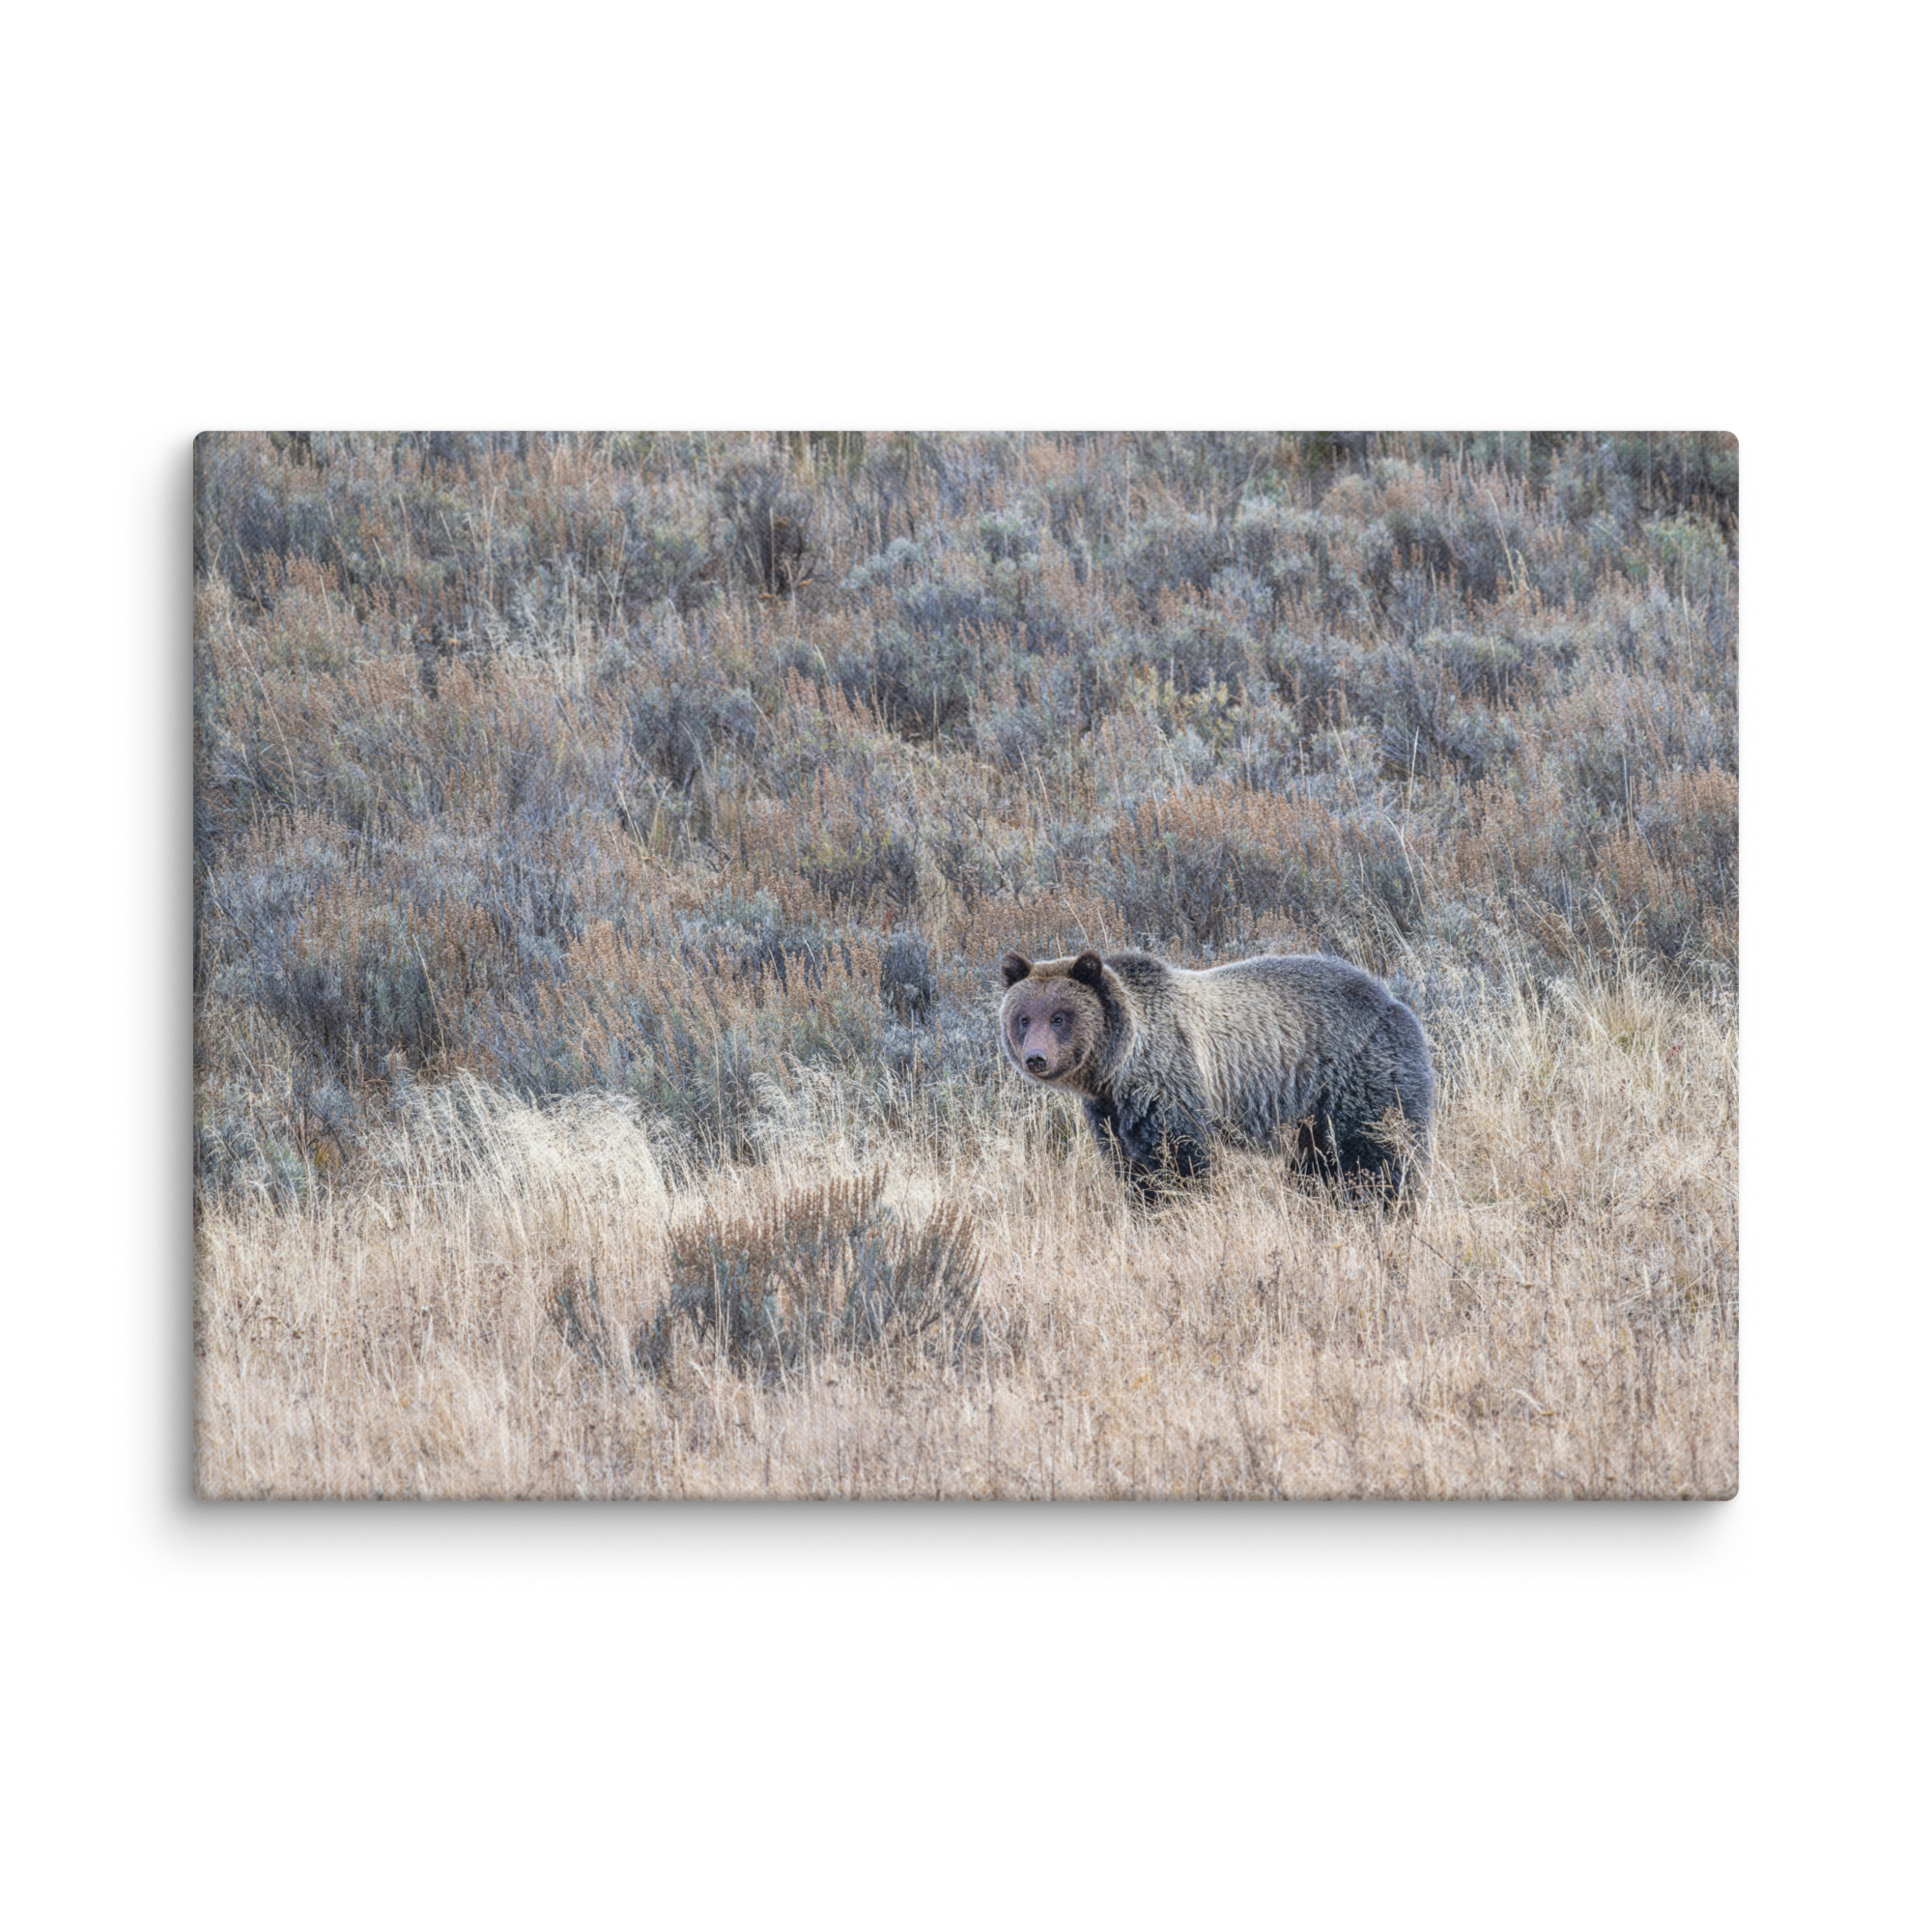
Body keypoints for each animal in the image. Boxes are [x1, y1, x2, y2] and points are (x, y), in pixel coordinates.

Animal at [998, 947, 1435, 1202]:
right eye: (1024, 1018)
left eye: (1059, 1017)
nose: (1036, 1058)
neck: (1117, 1067)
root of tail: (1395, 1001)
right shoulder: (1110, 1112)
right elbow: (1130, 1166)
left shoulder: (1168, 1083)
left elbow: (1180, 1159)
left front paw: (1181, 1204)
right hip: (1311, 1114)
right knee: (1317, 1164)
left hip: (1358, 1076)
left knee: (1376, 1154)